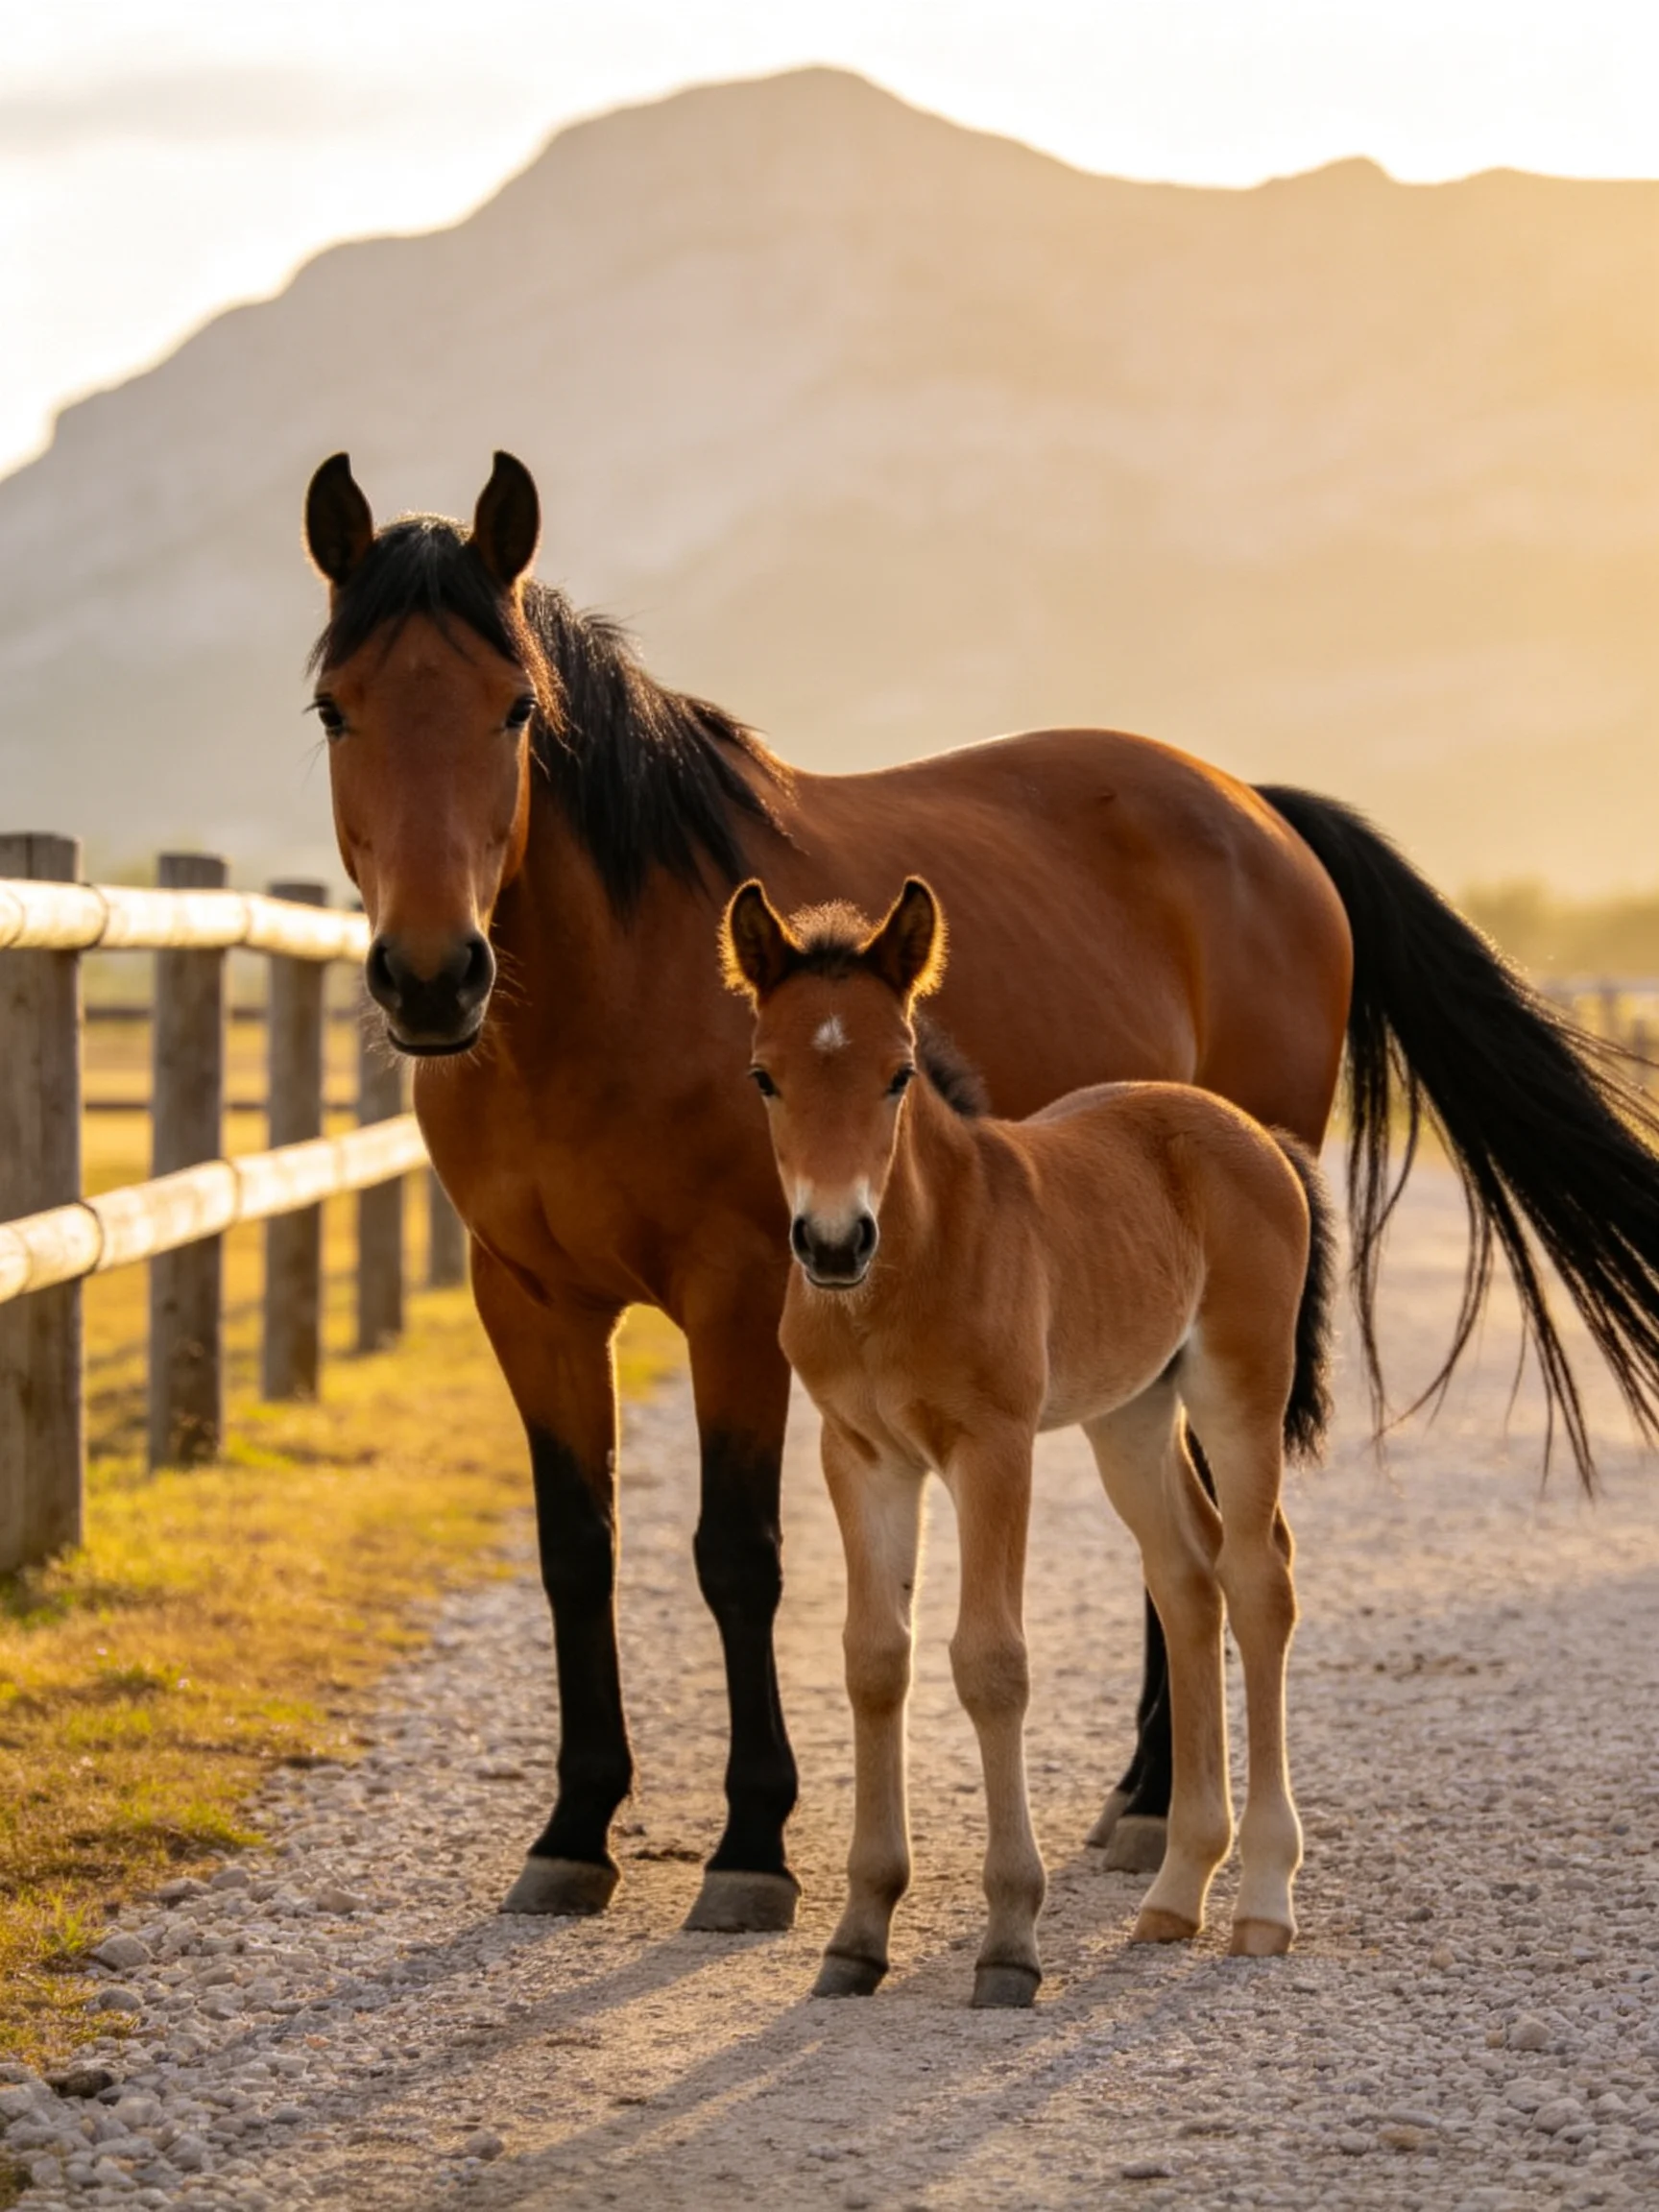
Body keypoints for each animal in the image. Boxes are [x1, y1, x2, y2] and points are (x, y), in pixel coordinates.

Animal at [721, 875, 1335, 2005]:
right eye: (764, 1076)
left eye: (898, 1074)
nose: (832, 1242)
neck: (910, 1264)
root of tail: (1255, 1133)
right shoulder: (859, 1456)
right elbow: (875, 1660)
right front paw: (858, 1932)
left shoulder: (993, 1449)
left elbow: (991, 1663)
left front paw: (1010, 1939)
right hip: (1129, 1413)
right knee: (1187, 1580)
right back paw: (1176, 1890)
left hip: (1238, 1386)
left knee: (1258, 1577)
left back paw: (1264, 1900)